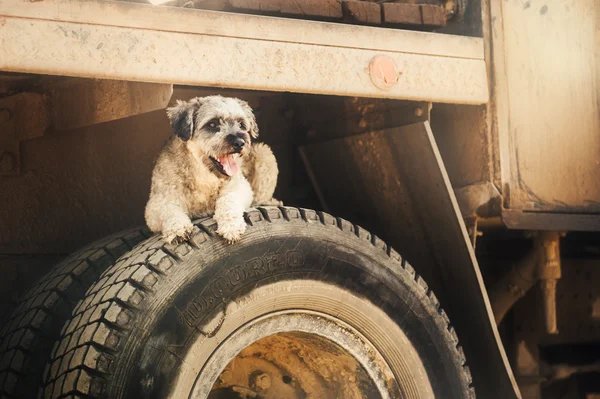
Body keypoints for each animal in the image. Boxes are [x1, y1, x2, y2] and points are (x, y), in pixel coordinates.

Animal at [144, 95, 280, 245]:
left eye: (241, 124)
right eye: (212, 124)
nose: (240, 142)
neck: (203, 174)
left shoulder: (240, 187)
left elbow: (228, 200)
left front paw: (231, 226)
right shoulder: (156, 205)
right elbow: (169, 211)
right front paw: (178, 228)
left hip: (264, 153)